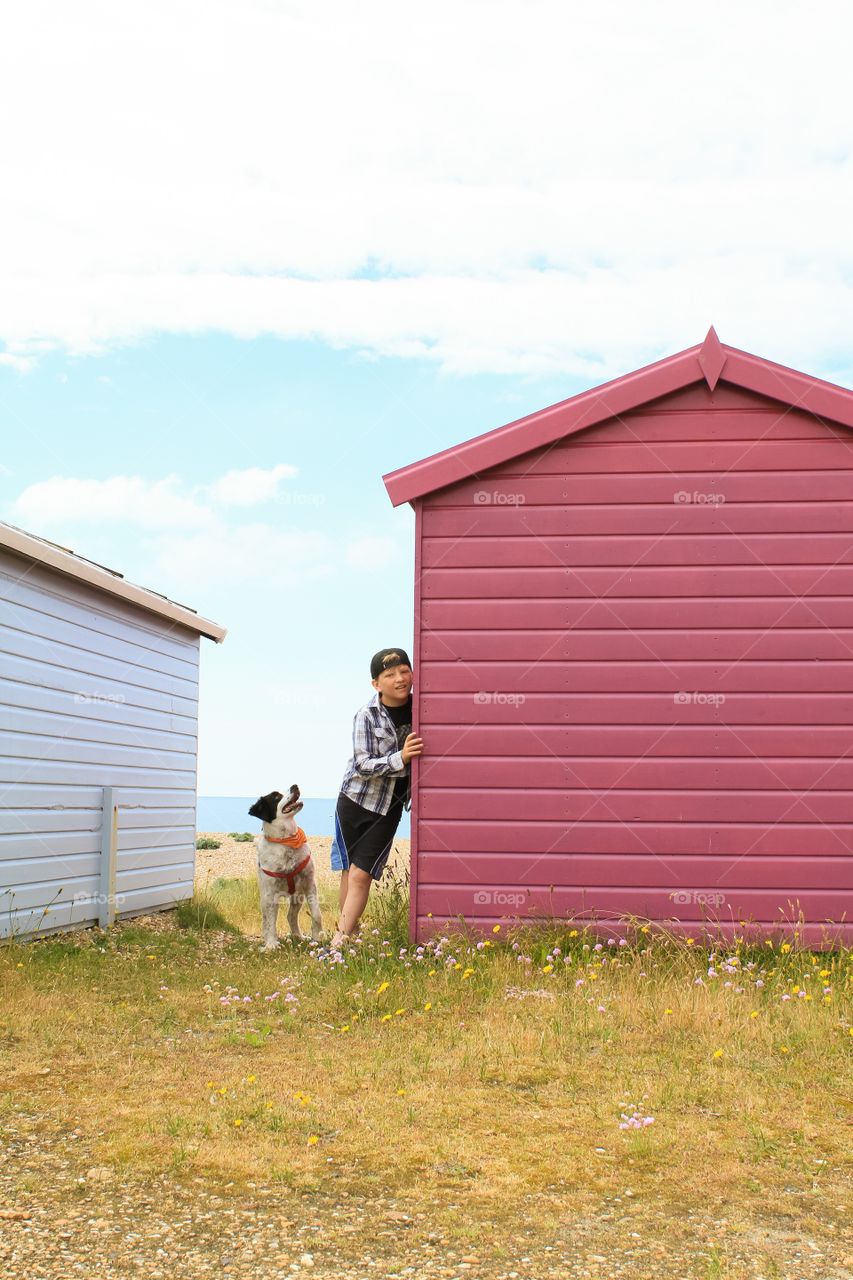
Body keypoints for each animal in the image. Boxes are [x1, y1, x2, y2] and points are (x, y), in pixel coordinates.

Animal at [251, 778, 324, 952]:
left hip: (298, 896)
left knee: (290, 916)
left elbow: (317, 914)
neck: (286, 841)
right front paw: (271, 944)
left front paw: (317, 938)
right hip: (265, 897)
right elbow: (271, 922)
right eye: (277, 797)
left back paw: (298, 936)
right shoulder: (271, 893)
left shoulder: (310, 884)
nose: (295, 786)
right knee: (266, 920)